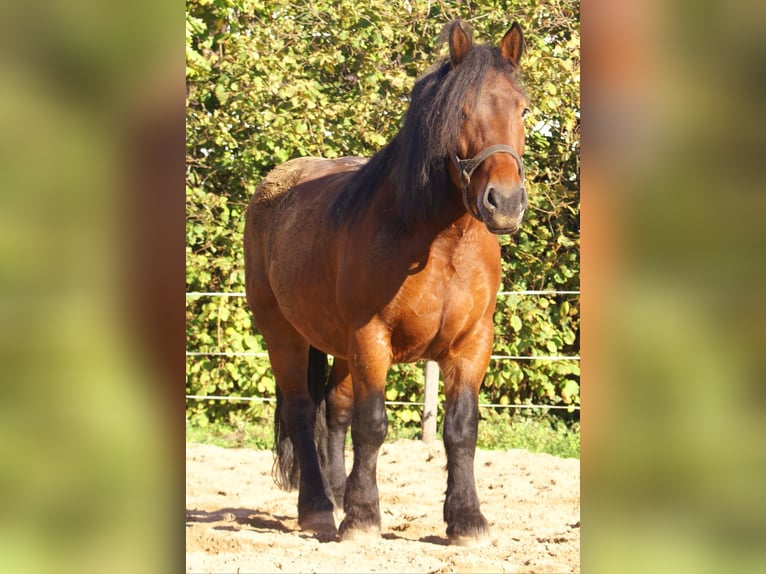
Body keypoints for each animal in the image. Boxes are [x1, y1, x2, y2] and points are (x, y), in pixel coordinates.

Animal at [244, 19, 528, 546]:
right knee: (301, 412)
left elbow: (461, 428)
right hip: (283, 334)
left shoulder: (473, 342)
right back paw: (319, 508)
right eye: (460, 111)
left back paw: (336, 495)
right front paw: (362, 518)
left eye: (523, 109)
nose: (505, 203)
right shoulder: (370, 338)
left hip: (337, 346)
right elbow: (372, 425)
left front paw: (467, 520)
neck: (439, 243)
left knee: (332, 410)